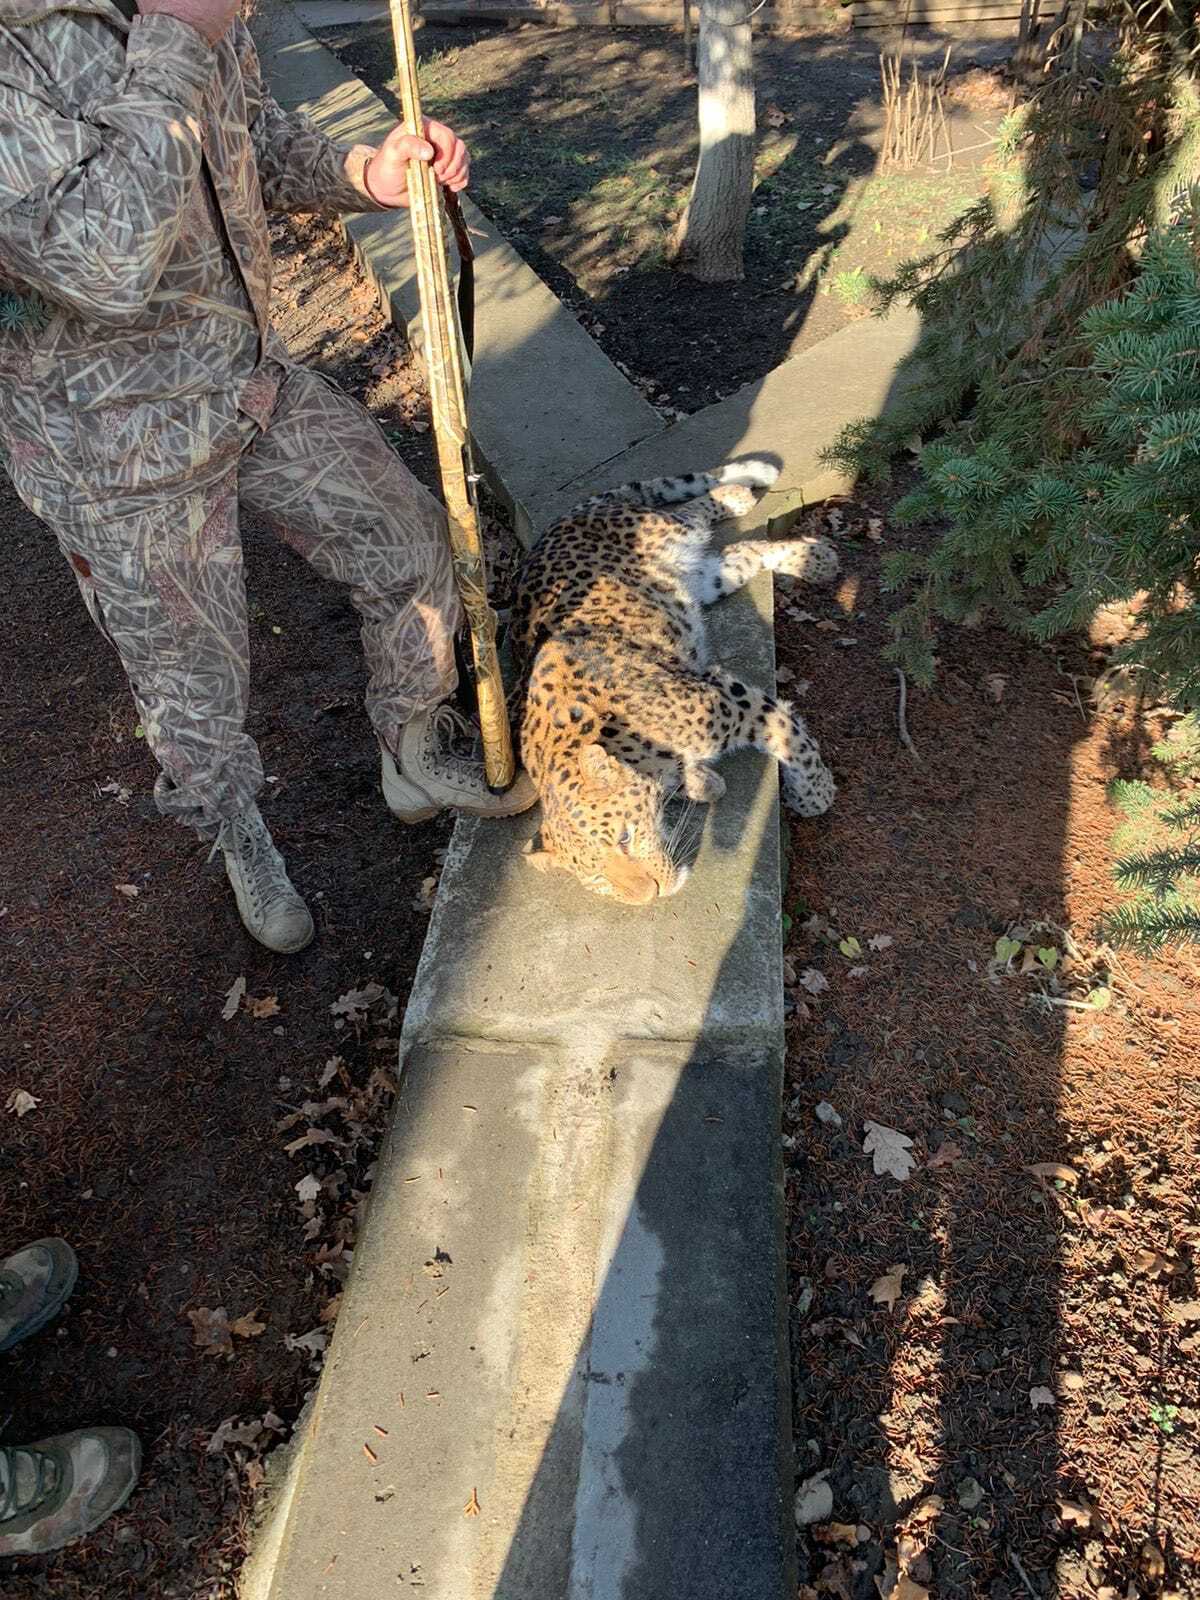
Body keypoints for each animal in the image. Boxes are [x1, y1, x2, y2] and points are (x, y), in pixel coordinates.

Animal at [512, 457, 838, 902]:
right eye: (600, 880)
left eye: (625, 839)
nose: (649, 895)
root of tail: (554, 527)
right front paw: (703, 782)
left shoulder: (726, 702)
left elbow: (790, 738)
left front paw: (814, 795)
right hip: (703, 579)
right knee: (744, 551)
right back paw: (810, 558)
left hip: (663, 528)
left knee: (690, 511)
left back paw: (748, 497)